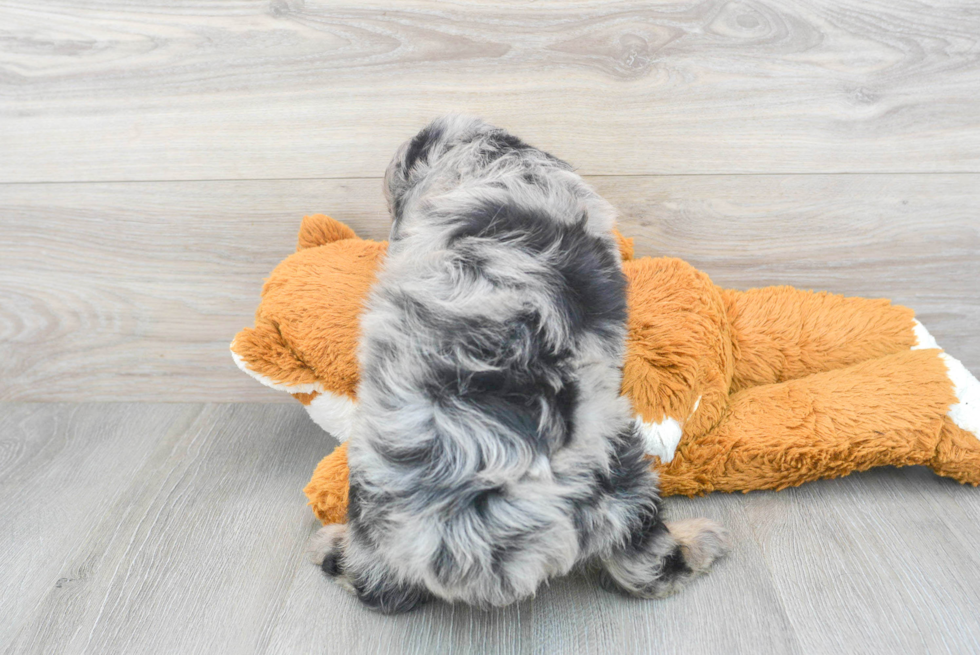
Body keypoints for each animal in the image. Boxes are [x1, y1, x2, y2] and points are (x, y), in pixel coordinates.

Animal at [310, 115, 732, 612]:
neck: (483, 161)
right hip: (620, 471)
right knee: (644, 562)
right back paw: (700, 542)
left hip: (373, 498)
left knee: (375, 581)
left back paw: (331, 549)